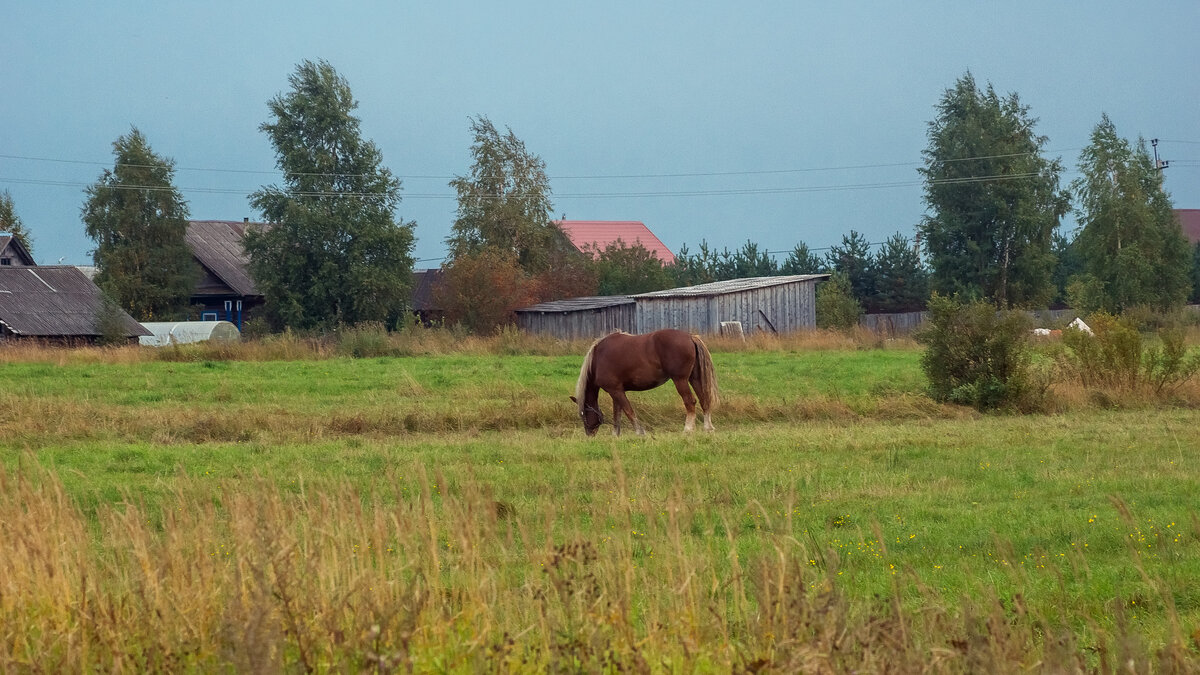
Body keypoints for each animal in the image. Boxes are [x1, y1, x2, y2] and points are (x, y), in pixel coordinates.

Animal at [566, 326, 715, 437]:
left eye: (583, 414)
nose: (589, 434)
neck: (597, 359)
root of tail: (690, 337)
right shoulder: (616, 391)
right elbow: (617, 414)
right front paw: (615, 435)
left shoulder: (615, 390)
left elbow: (628, 411)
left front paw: (639, 432)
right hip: (694, 378)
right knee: (704, 400)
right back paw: (708, 428)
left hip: (680, 380)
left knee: (690, 401)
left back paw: (688, 429)